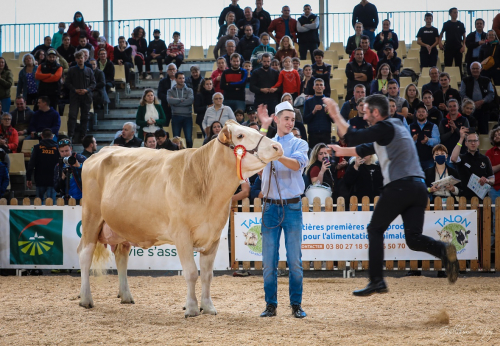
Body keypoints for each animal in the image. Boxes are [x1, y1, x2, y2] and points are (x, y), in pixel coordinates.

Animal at [76, 121, 284, 316]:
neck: (205, 183)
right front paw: (191, 308)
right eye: (240, 135)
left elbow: (207, 275)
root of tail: (101, 152)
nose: (277, 147)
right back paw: (86, 299)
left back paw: (126, 296)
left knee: (121, 256)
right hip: (91, 217)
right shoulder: (181, 234)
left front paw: (208, 307)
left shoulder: (214, 236)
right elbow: (191, 272)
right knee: (85, 255)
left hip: (122, 228)